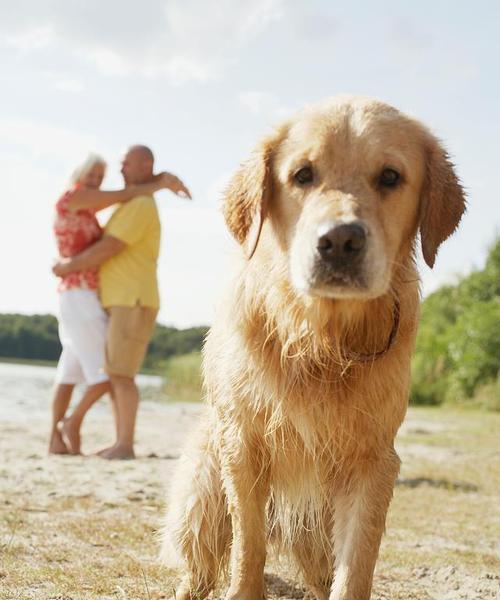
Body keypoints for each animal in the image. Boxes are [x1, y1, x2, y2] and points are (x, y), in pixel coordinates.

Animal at [162, 96, 466, 596]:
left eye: (390, 177)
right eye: (303, 174)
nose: (340, 240)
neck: (320, 338)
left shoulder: (373, 460)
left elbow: (357, 565)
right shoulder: (244, 444)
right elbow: (248, 545)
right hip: (201, 502)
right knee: (200, 568)